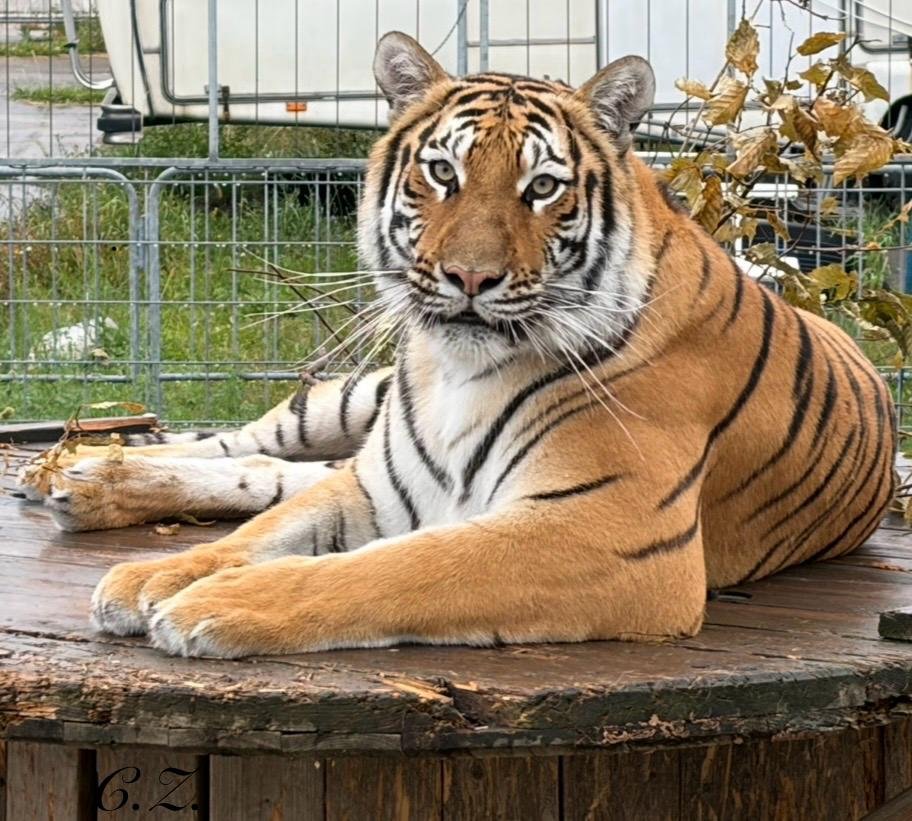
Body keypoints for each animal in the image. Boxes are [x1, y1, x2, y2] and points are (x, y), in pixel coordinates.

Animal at [15, 32, 896, 658]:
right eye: (442, 173)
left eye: (543, 187)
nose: (469, 276)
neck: (462, 372)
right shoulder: (378, 483)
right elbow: (253, 535)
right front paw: (156, 574)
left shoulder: (607, 530)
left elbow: (399, 565)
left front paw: (212, 604)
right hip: (353, 397)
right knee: (246, 446)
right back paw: (72, 472)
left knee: (270, 469)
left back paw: (80, 479)